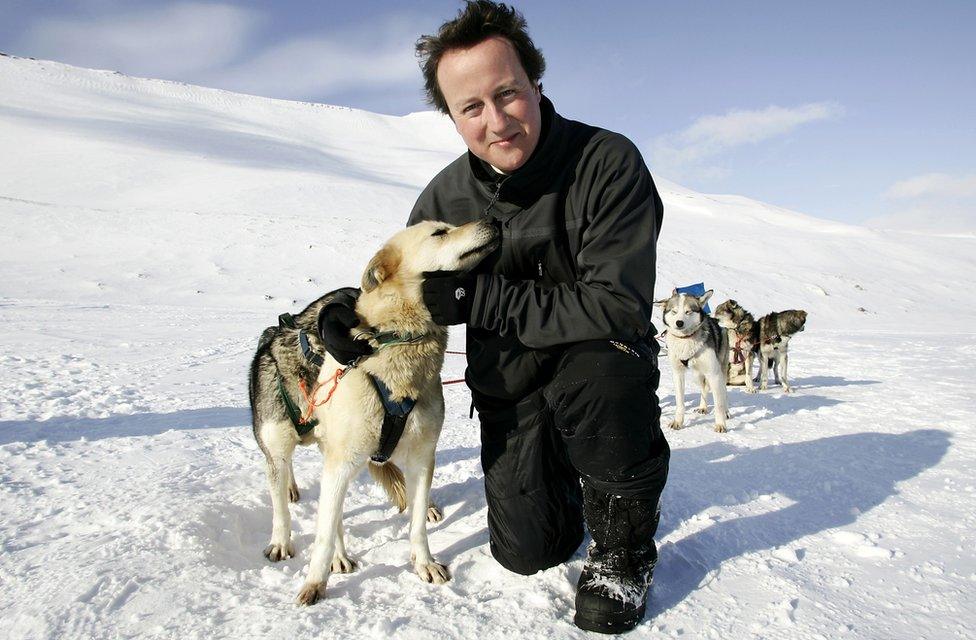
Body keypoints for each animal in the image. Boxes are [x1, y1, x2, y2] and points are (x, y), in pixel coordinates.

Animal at [660, 288, 728, 432]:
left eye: (688, 311)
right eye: (674, 311)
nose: (679, 323)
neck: (686, 340)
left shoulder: (714, 374)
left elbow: (718, 404)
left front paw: (720, 424)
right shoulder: (678, 373)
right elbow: (680, 402)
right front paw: (678, 422)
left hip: (721, 372)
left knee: (723, 392)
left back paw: (727, 411)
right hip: (698, 375)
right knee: (704, 389)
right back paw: (703, 407)